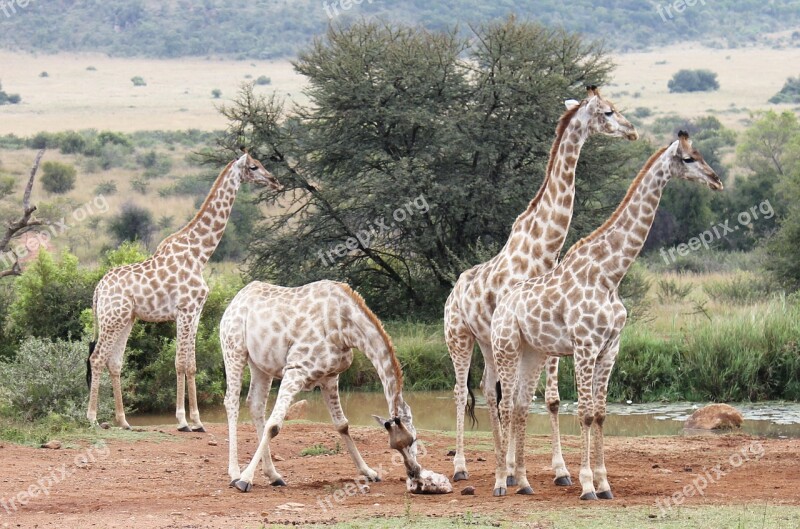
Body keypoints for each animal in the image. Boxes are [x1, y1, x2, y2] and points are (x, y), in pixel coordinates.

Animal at [86, 147, 282, 428]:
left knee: (114, 362)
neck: (200, 254)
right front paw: (182, 420)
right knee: (97, 357)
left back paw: (123, 421)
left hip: (126, 319)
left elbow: (191, 364)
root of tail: (98, 290)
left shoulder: (196, 311)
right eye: (254, 166)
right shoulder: (185, 309)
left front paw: (197, 420)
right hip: (112, 318)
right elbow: (179, 362)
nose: (275, 180)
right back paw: (91, 417)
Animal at [219, 280, 438, 490]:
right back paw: (235, 473)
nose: (414, 472)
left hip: (260, 365)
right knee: (232, 401)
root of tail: (234, 301)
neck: (344, 327)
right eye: (404, 442)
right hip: (234, 350)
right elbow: (274, 425)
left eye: (412, 440)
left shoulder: (330, 377)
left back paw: (274, 476)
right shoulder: (295, 370)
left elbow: (342, 424)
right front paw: (245, 479)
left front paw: (369, 472)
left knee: (256, 405)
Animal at [444, 85, 636, 482]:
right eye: (608, 112)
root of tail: (454, 291)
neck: (543, 249)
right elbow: (518, 398)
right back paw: (462, 467)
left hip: (488, 342)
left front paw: (558, 469)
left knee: (488, 390)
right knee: (459, 391)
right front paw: (517, 470)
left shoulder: (545, 337)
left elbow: (548, 399)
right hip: (459, 336)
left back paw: (499, 459)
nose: (632, 131)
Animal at [490, 130, 720, 498]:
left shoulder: (610, 348)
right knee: (504, 405)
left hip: (533, 352)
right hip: (506, 347)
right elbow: (584, 413)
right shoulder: (585, 346)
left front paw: (604, 483)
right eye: (688, 158)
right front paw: (586, 484)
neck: (609, 274)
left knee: (521, 405)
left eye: (699, 154)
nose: (716, 180)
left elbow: (599, 414)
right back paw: (501, 481)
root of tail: (501, 305)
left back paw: (523, 482)